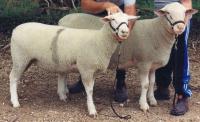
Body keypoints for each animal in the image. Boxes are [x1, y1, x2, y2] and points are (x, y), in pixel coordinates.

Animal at [9, 12, 139, 116]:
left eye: (127, 20)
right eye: (113, 19)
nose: (124, 32)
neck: (99, 40)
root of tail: (15, 29)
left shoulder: (93, 70)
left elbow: (91, 88)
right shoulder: (86, 68)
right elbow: (89, 90)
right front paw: (92, 110)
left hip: (26, 59)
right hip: (20, 58)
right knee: (13, 78)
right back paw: (15, 102)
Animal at [58, 2, 198, 112]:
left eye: (185, 13)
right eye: (168, 13)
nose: (180, 27)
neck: (157, 32)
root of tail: (62, 19)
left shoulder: (152, 65)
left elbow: (152, 82)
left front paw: (152, 100)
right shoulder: (144, 63)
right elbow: (145, 84)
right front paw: (144, 105)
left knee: (64, 72)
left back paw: (65, 91)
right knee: (63, 73)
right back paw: (63, 93)